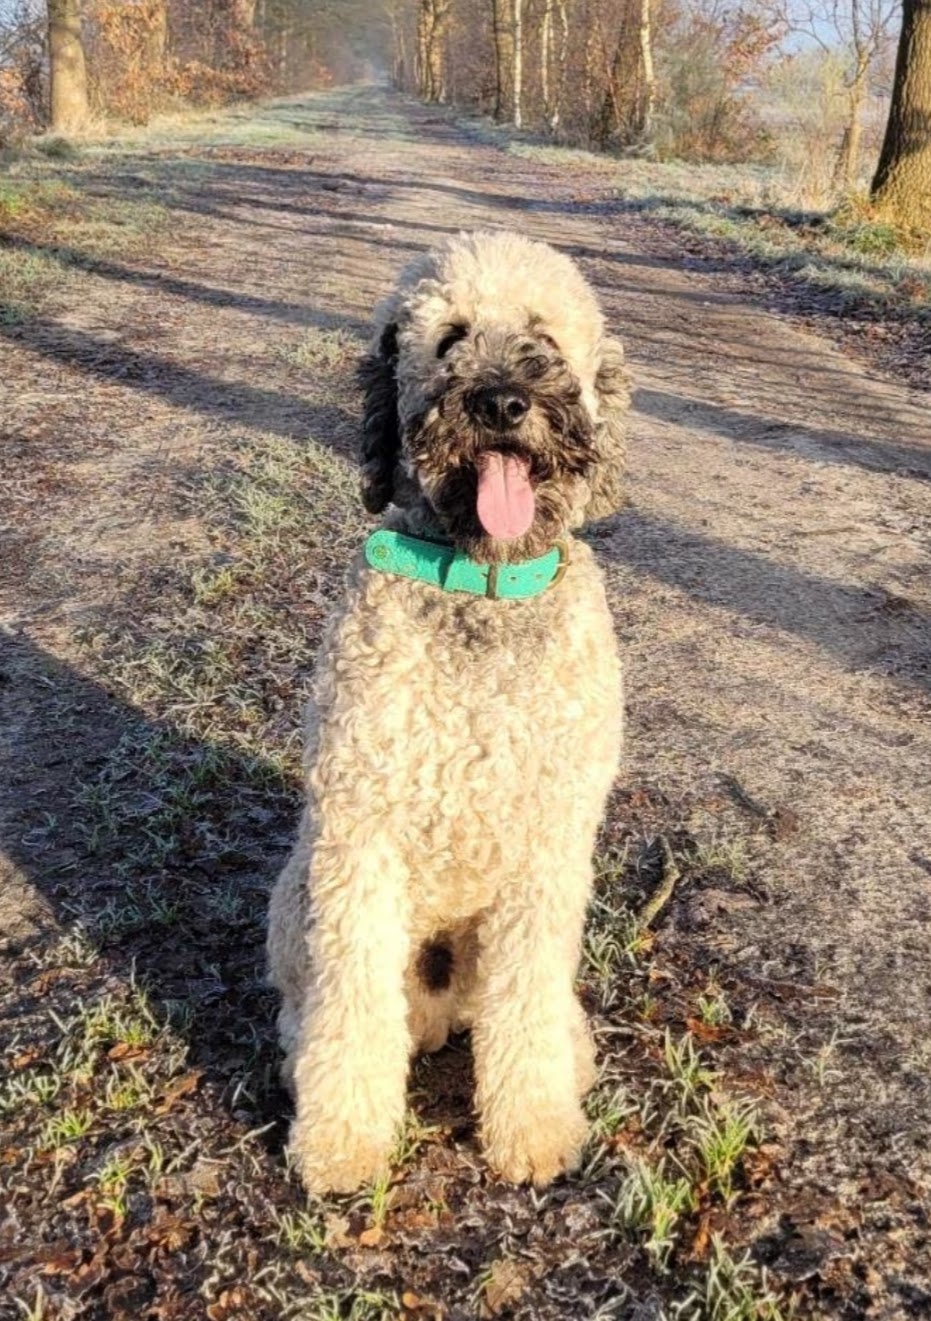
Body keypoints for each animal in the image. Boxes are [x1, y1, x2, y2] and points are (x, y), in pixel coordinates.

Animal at [270, 229, 631, 1199]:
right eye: (449, 338)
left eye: (542, 335)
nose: (501, 401)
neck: (484, 583)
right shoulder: (359, 836)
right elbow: (352, 1004)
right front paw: (343, 1141)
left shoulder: (550, 852)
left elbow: (526, 1001)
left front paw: (534, 1126)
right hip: (297, 888)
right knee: (315, 1003)